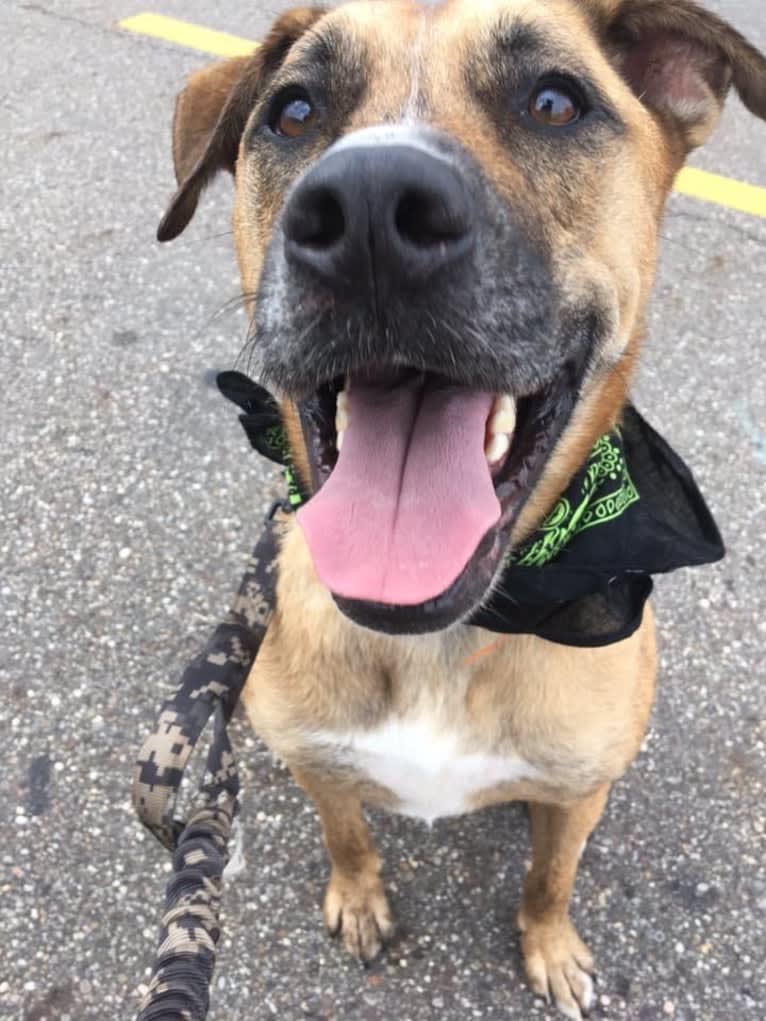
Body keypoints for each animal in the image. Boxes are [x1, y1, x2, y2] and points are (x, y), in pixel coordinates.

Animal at [156, 3, 766, 1016]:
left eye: (554, 102)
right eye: (294, 111)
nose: (366, 211)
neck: (442, 635)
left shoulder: (578, 791)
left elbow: (550, 877)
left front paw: (549, 947)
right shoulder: (320, 764)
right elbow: (347, 832)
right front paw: (359, 896)